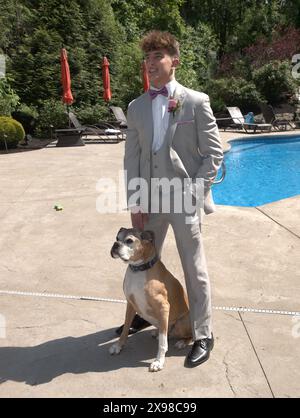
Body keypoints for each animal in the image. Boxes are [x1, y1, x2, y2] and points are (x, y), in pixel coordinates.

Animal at [109, 229, 191, 372]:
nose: (115, 244)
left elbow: (163, 343)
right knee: (166, 332)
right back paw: (157, 333)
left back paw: (182, 342)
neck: (138, 270)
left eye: (129, 240)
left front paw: (159, 361)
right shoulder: (130, 304)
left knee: (189, 335)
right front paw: (118, 346)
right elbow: (125, 329)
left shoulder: (163, 308)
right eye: (117, 238)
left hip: (182, 322)